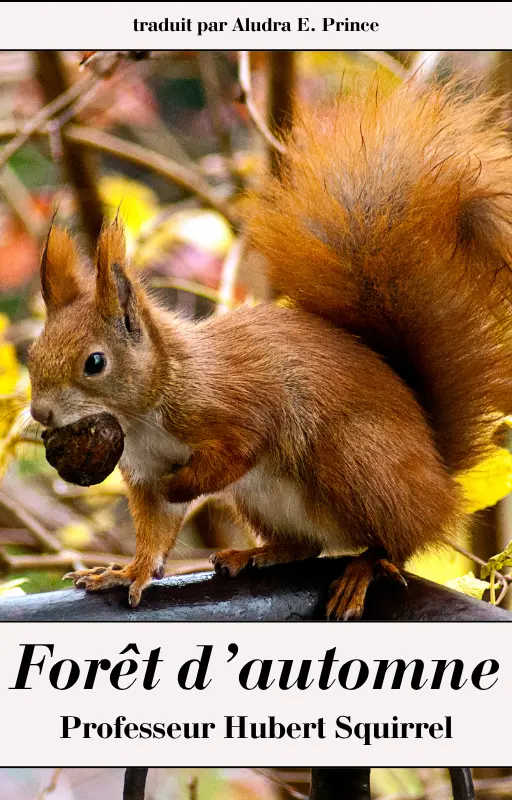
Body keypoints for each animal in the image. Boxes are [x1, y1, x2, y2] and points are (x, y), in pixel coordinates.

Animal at [28, 79, 512, 617]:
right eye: (32, 355)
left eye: (95, 362)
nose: (41, 414)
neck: (148, 408)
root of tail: (439, 479)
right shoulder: (144, 473)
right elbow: (155, 530)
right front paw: (127, 572)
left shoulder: (235, 405)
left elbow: (240, 449)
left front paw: (184, 484)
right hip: (268, 501)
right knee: (308, 546)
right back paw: (257, 553)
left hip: (356, 461)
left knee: (395, 544)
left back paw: (363, 569)